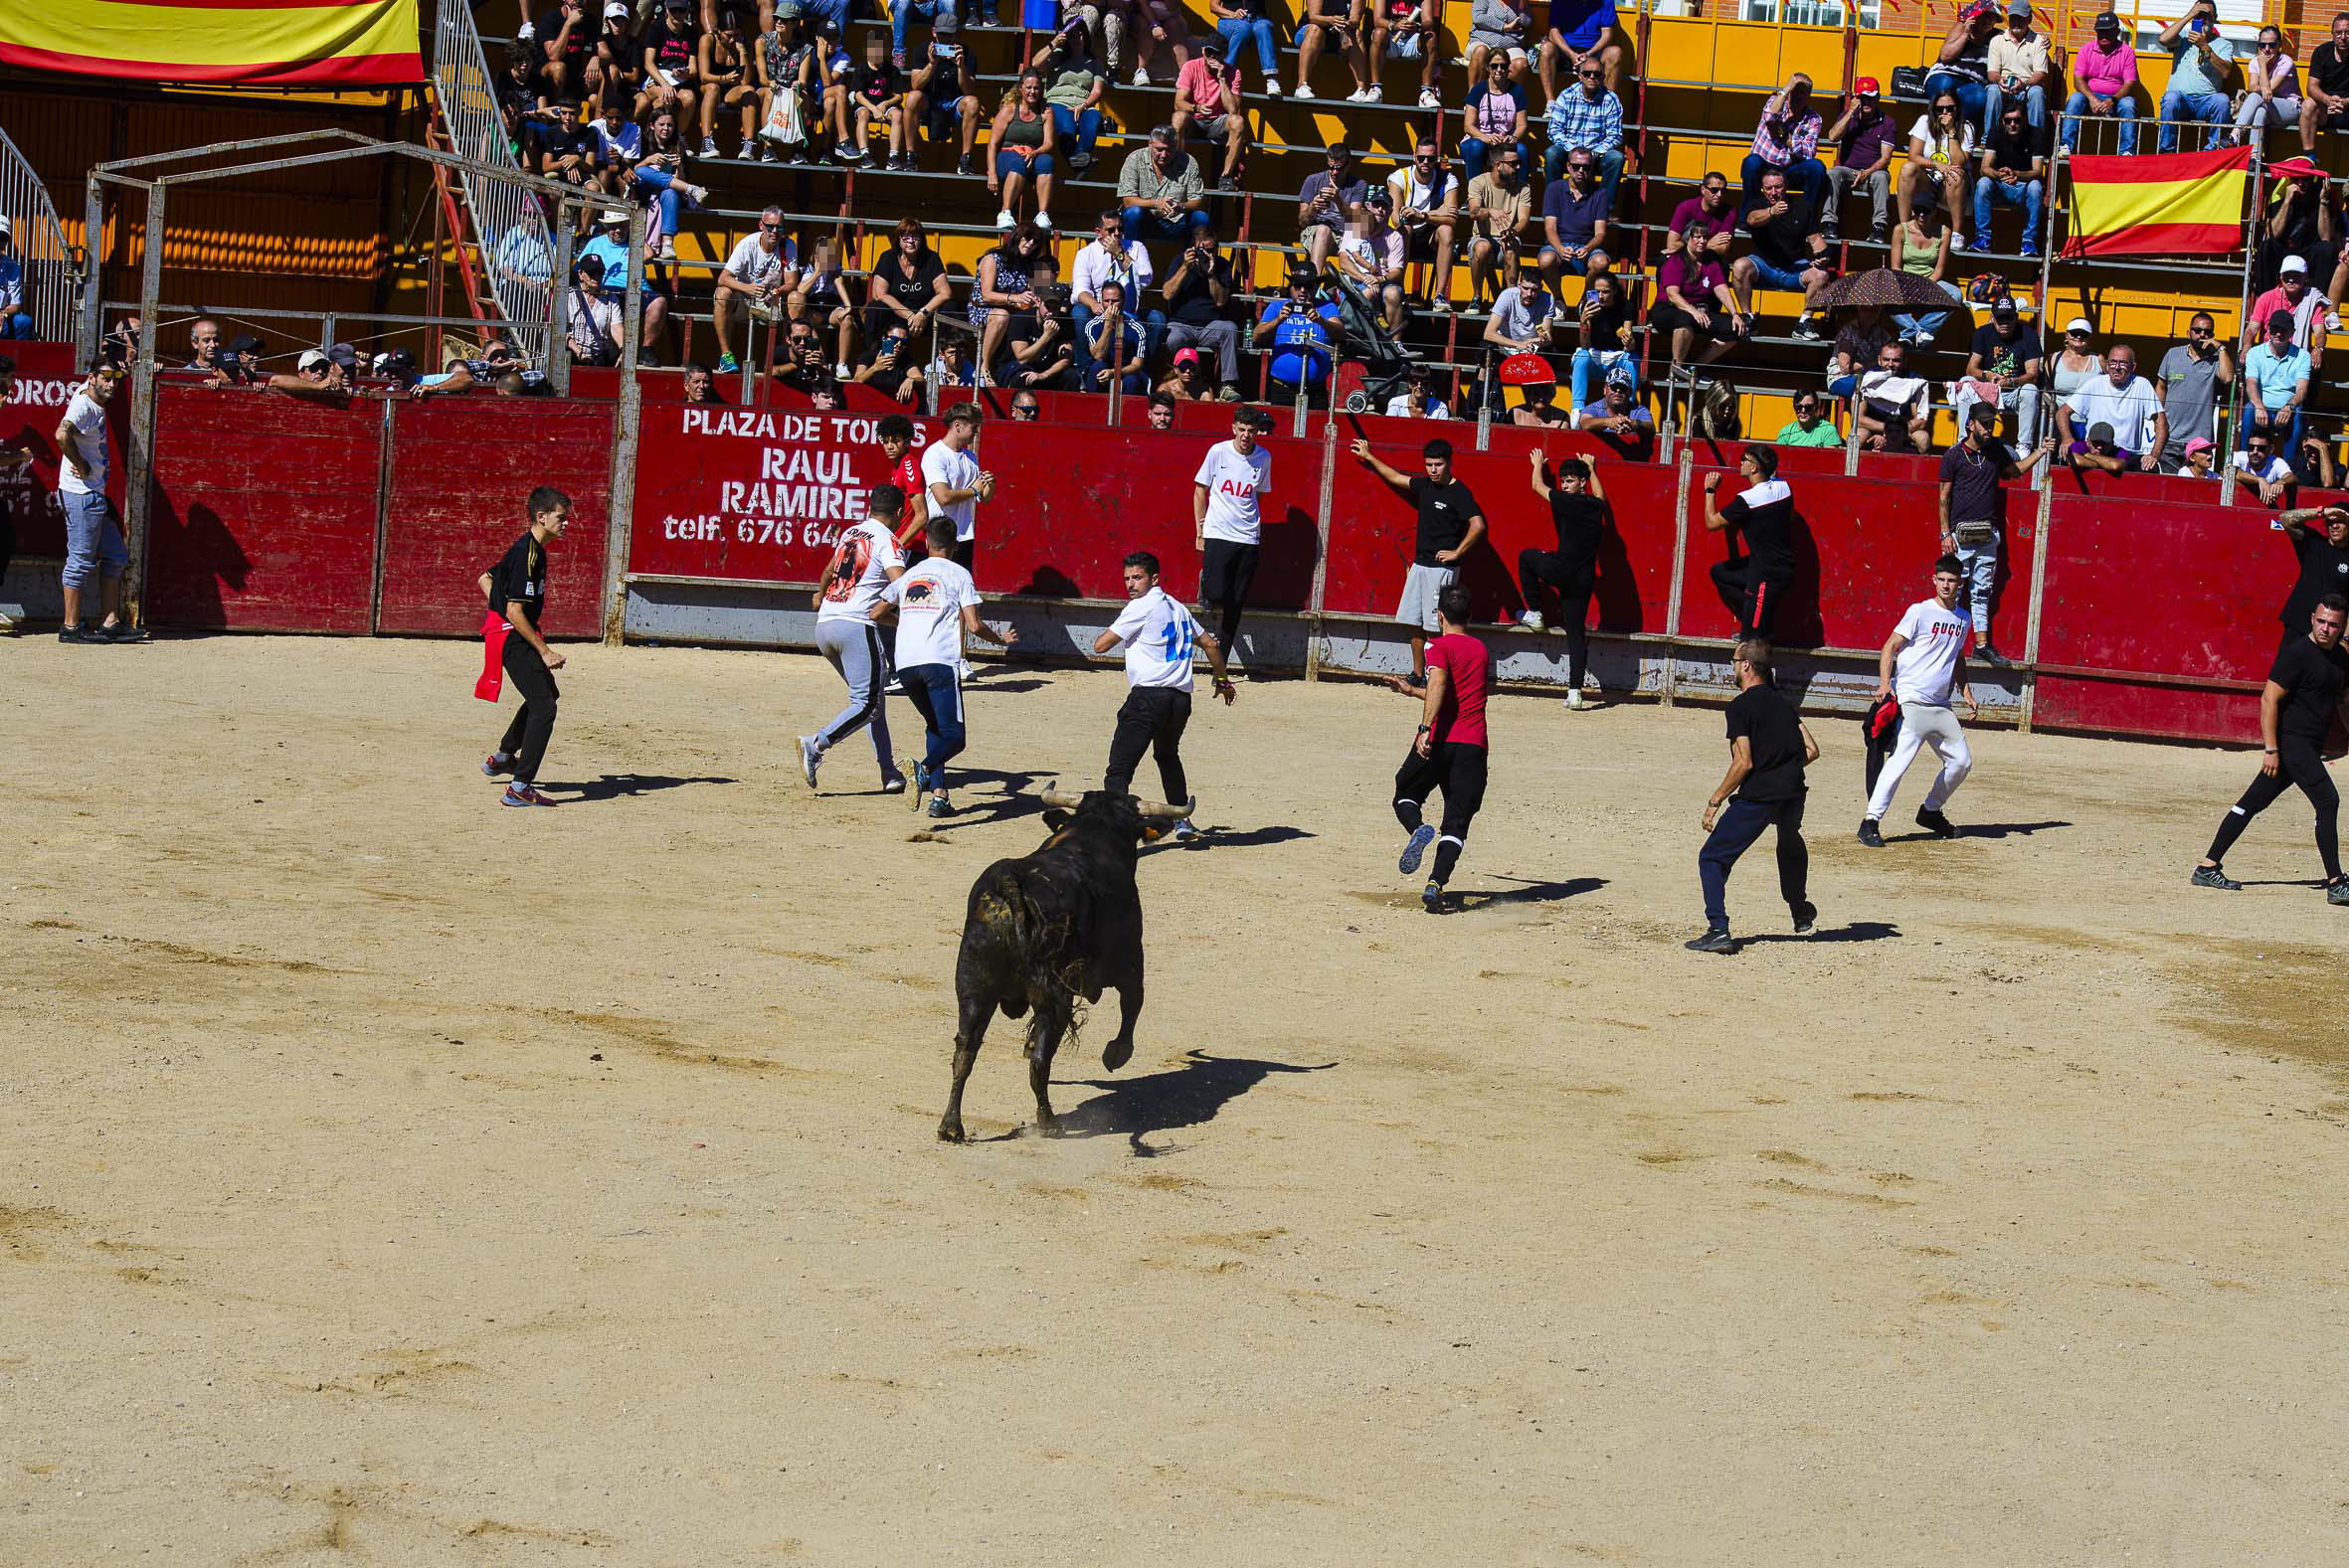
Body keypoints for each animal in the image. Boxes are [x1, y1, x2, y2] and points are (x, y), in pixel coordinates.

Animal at [939, 797, 1183, 1140]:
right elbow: (1134, 1001)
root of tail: (1011, 884)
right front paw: (1118, 1052)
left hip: (972, 988)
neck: (1093, 830)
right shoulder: (1130, 959)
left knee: (964, 1050)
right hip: (1055, 997)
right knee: (1040, 1062)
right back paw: (1049, 1123)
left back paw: (950, 1126)